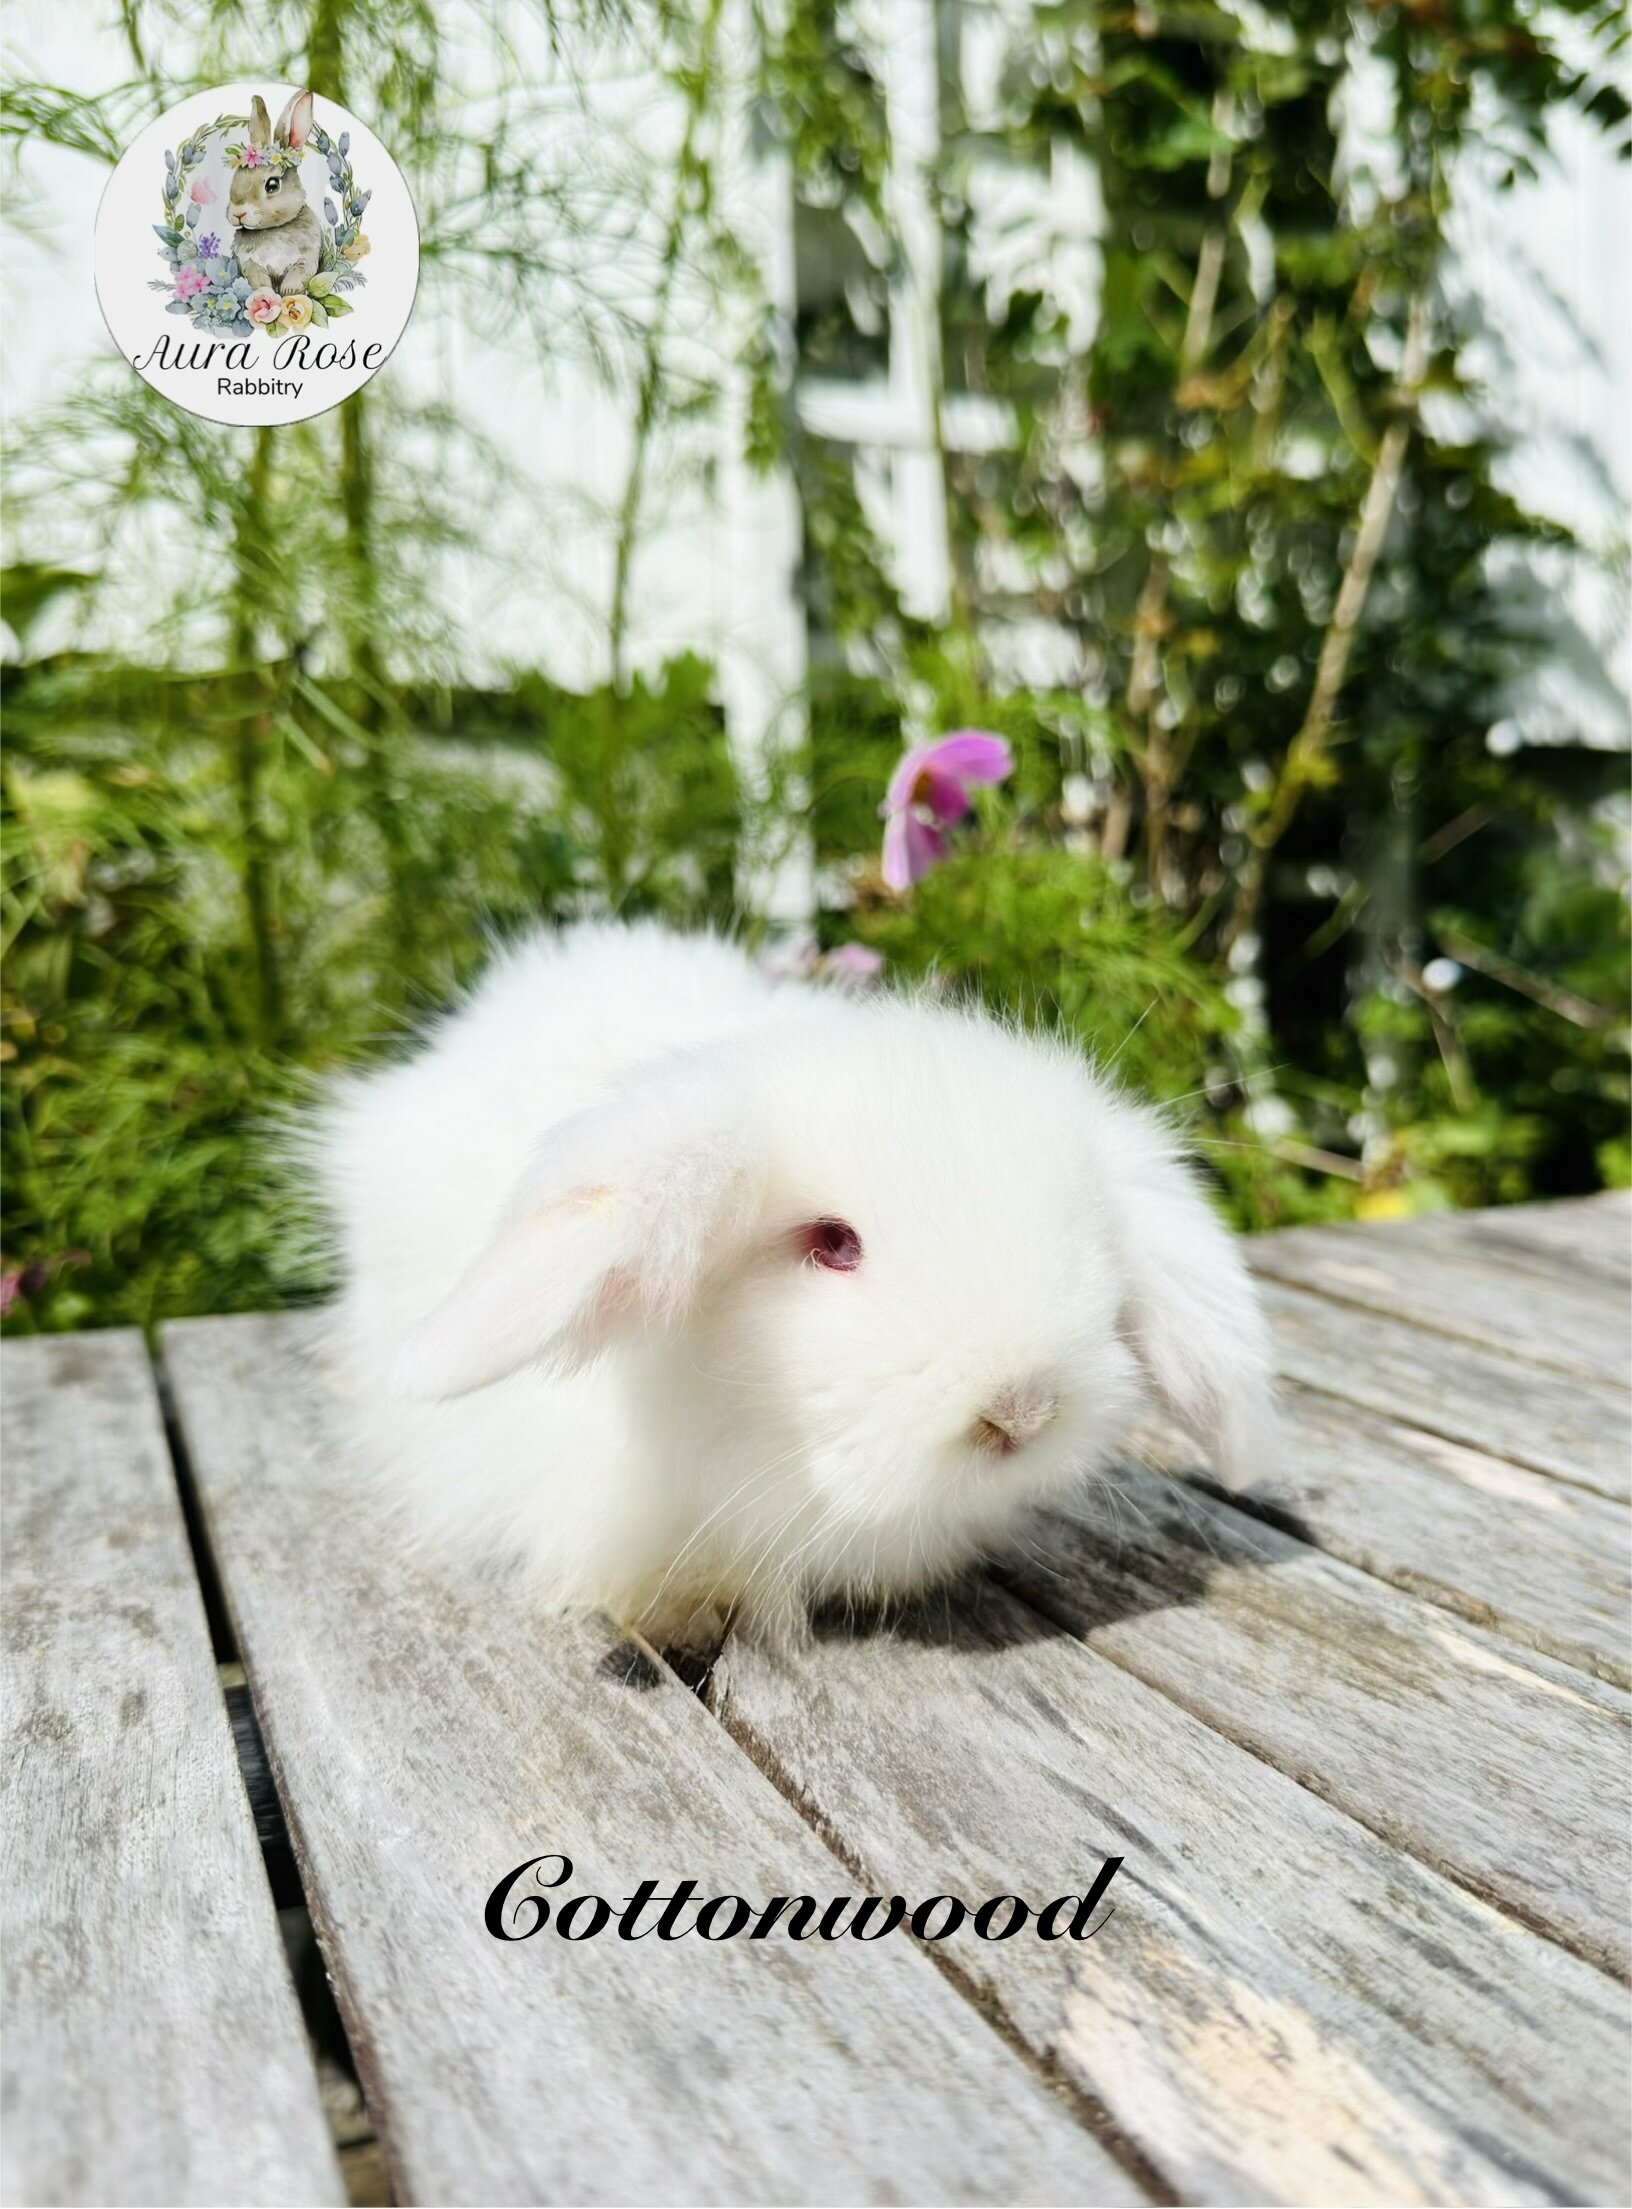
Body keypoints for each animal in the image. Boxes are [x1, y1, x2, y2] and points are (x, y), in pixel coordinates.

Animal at [229, 91, 323, 297]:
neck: (272, 229)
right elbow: (259, 281)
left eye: (272, 185)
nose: (237, 214)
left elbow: (298, 274)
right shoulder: (251, 264)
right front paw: (265, 294)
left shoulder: (306, 258)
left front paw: (289, 292)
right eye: (235, 178)